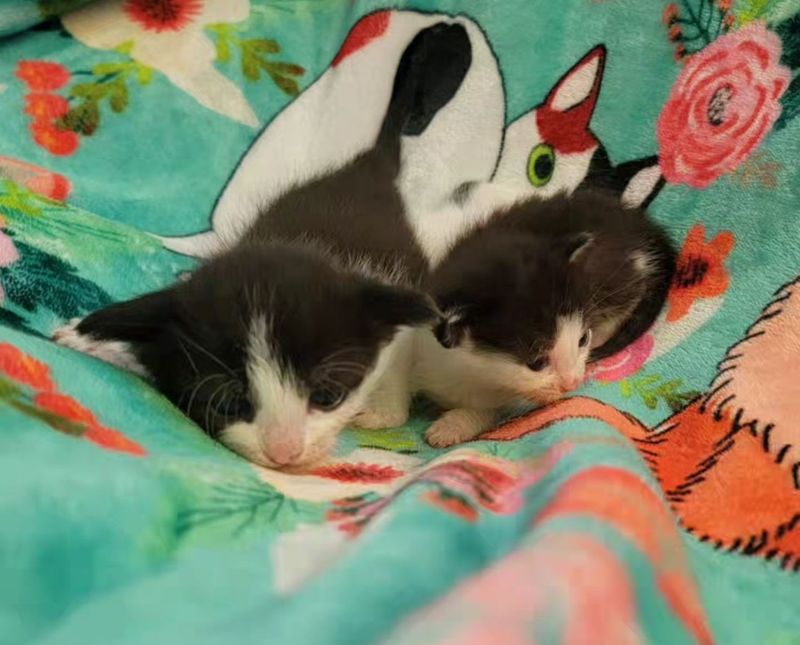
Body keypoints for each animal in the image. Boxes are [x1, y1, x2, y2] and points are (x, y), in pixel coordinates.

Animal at [54, 22, 476, 468]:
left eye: (327, 395)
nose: (284, 452)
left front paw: (382, 410)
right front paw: (84, 337)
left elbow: (402, 349)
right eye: (228, 403)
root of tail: (369, 165)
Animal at [412, 189, 676, 446]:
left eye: (582, 340)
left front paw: (452, 426)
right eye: (537, 363)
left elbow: (494, 409)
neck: (471, 372)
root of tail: (638, 222)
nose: (573, 383)